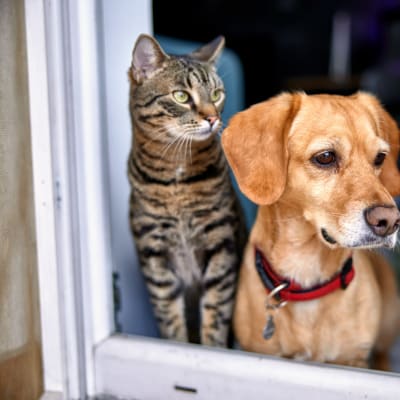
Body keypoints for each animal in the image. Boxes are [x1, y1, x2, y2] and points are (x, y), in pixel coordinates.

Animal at [128, 35, 247, 346]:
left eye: (216, 94)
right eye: (181, 96)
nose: (213, 118)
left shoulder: (220, 245)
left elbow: (216, 314)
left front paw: (213, 349)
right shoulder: (154, 254)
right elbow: (170, 319)